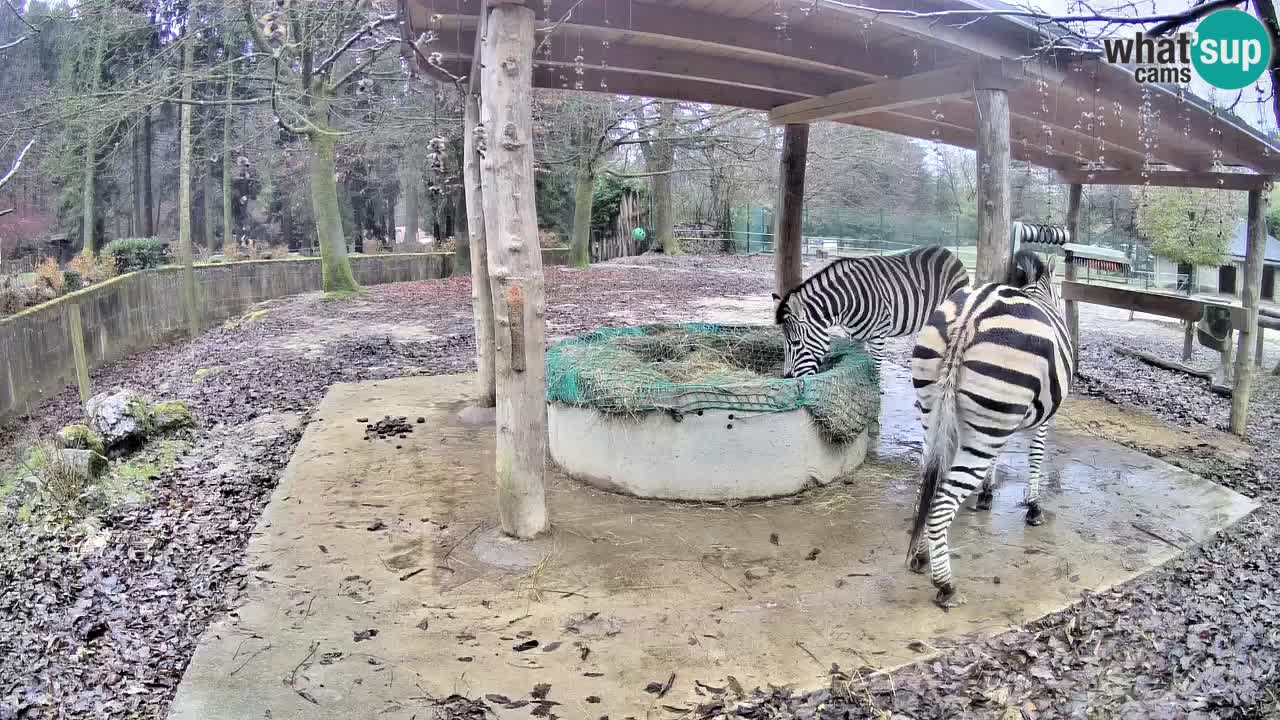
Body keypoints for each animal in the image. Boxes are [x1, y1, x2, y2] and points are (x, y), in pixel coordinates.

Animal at [768, 244, 967, 379]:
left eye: (795, 343)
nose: (787, 378)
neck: (848, 300)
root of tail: (947, 251)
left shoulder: (878, 335)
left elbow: (876, 368)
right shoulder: (854, 335)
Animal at [906, 245, 1075, 604]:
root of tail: (970, 315)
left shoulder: (1003, 418)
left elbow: (1000, 456)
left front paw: (986, 492)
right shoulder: (1041, 416)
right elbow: (1036, 456)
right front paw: (1034, 507)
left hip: (935, 413)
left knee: (926, 486)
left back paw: (921, 555)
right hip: (985, 423)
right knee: (941, 504)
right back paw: (945, 585)